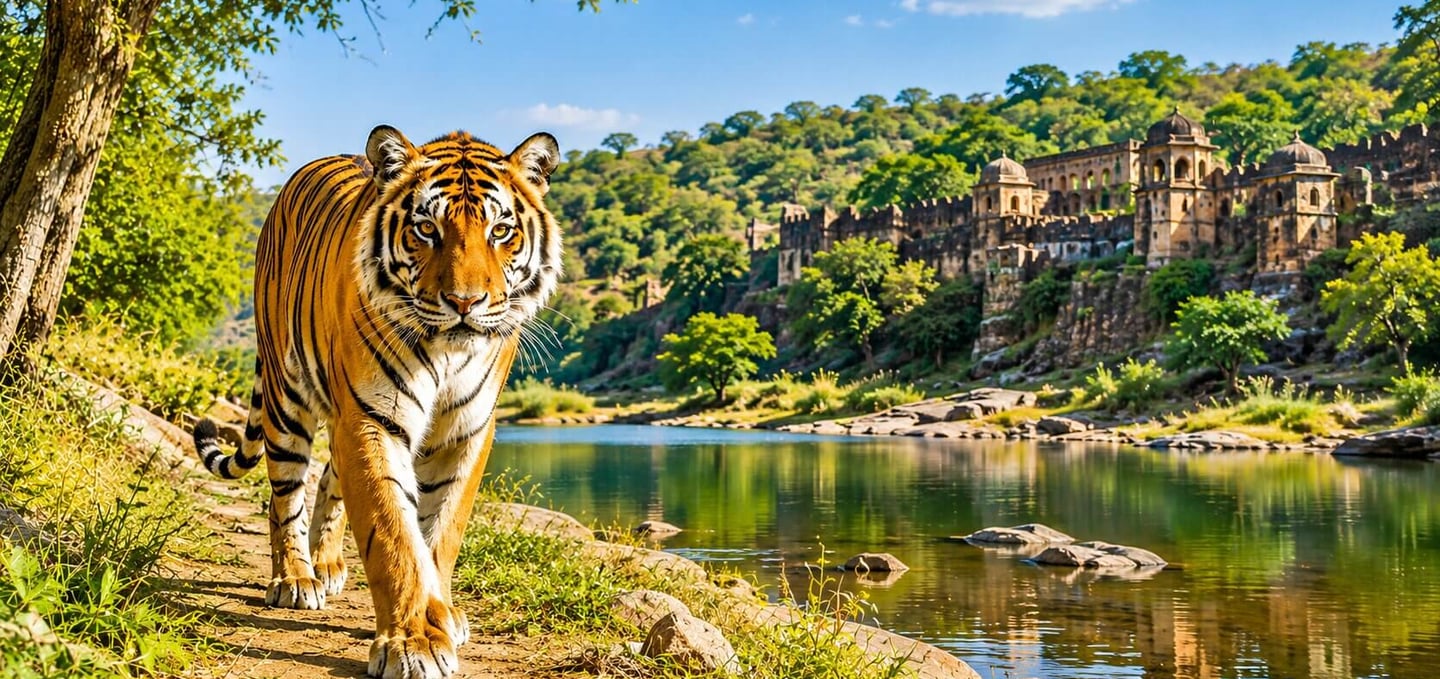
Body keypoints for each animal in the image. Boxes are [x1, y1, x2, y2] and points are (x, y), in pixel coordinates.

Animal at [191, 125, 561, 679]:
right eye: (426, 229)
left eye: (500, 231)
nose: (465, 303)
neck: (449, 352)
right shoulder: (373, 418)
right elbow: (392, 533)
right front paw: (413, 642)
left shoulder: (466, 429)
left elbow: (441, 531)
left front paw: (442, 616)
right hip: (285, 396)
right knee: (284, 493)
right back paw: (295, 577)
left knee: (328, 477)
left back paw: (325, 564)